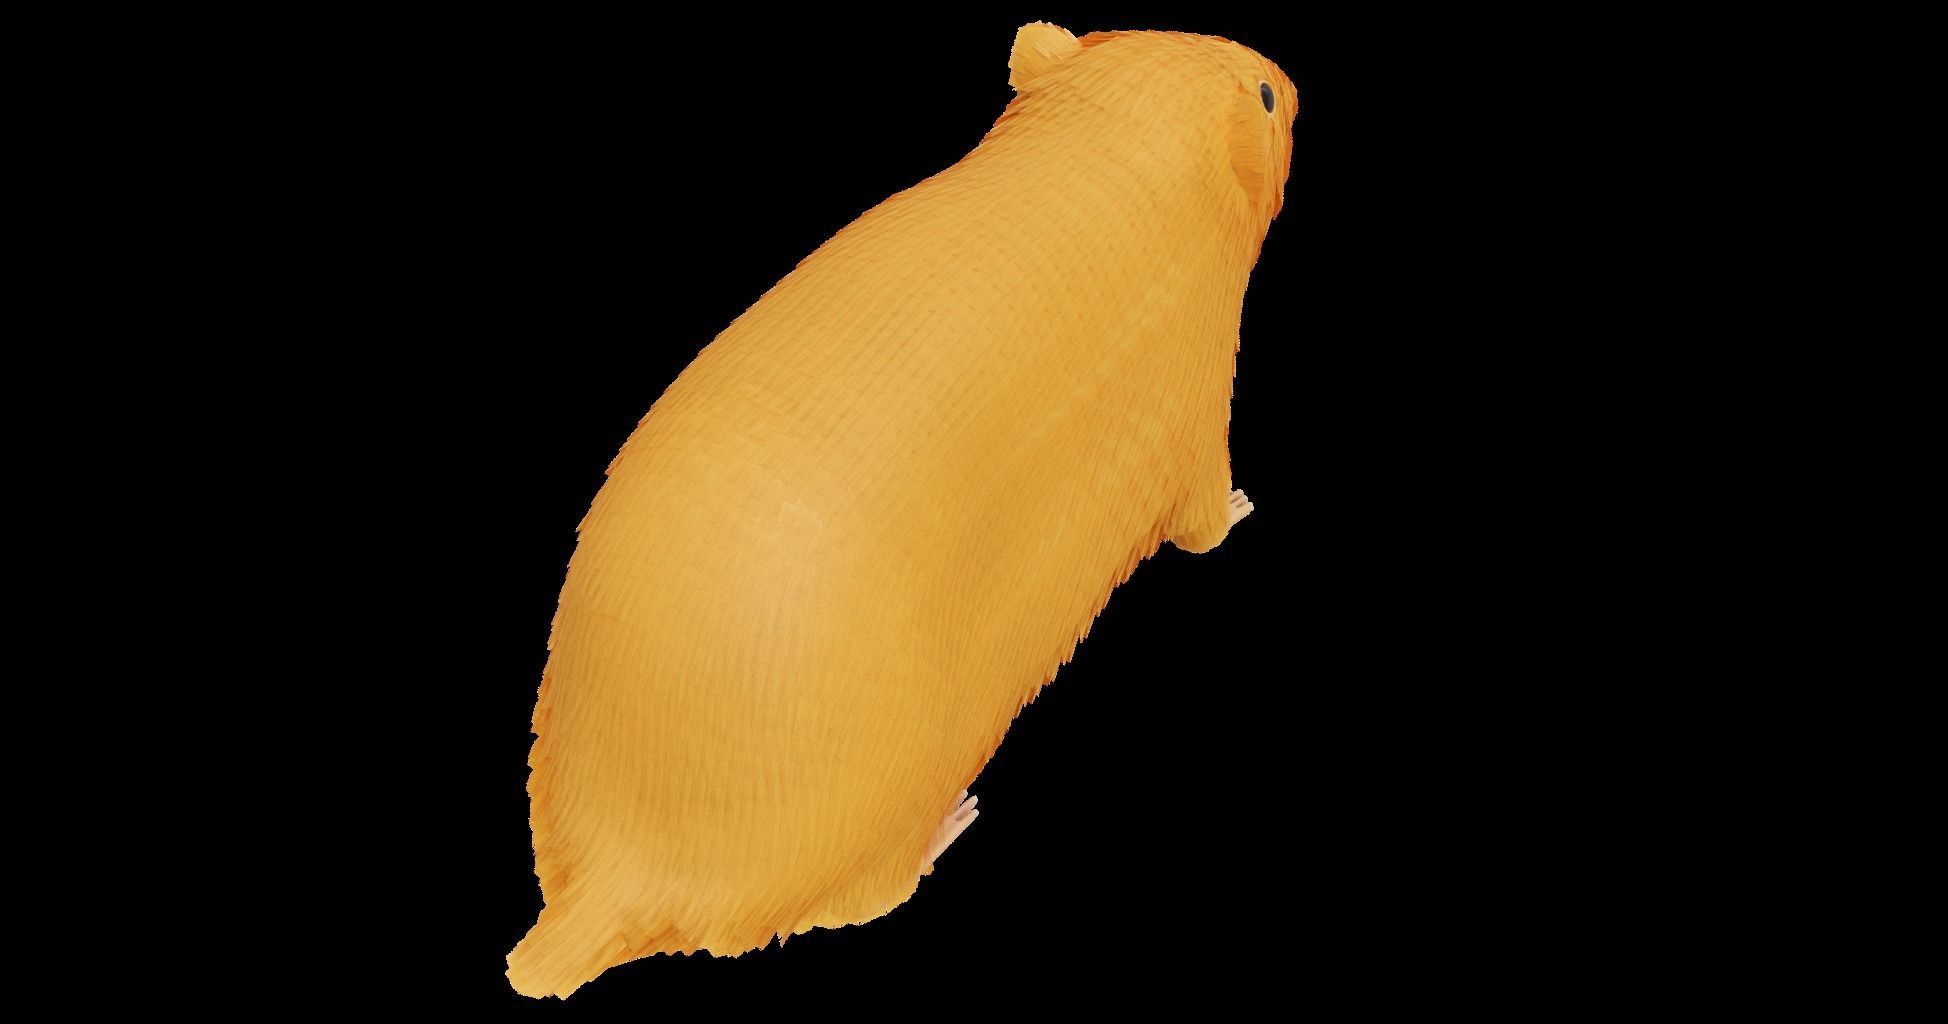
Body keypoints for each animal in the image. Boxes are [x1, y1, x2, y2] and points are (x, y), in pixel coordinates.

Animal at [508, 22, 1297, 998]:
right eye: (1264, 96)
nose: (1288, 76)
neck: (1106, 141)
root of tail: (617, 867)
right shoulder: (1196, 389)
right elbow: (1202, 520)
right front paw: (1242, 503)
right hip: (891, 774)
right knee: (865, 899)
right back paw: (947, 828)